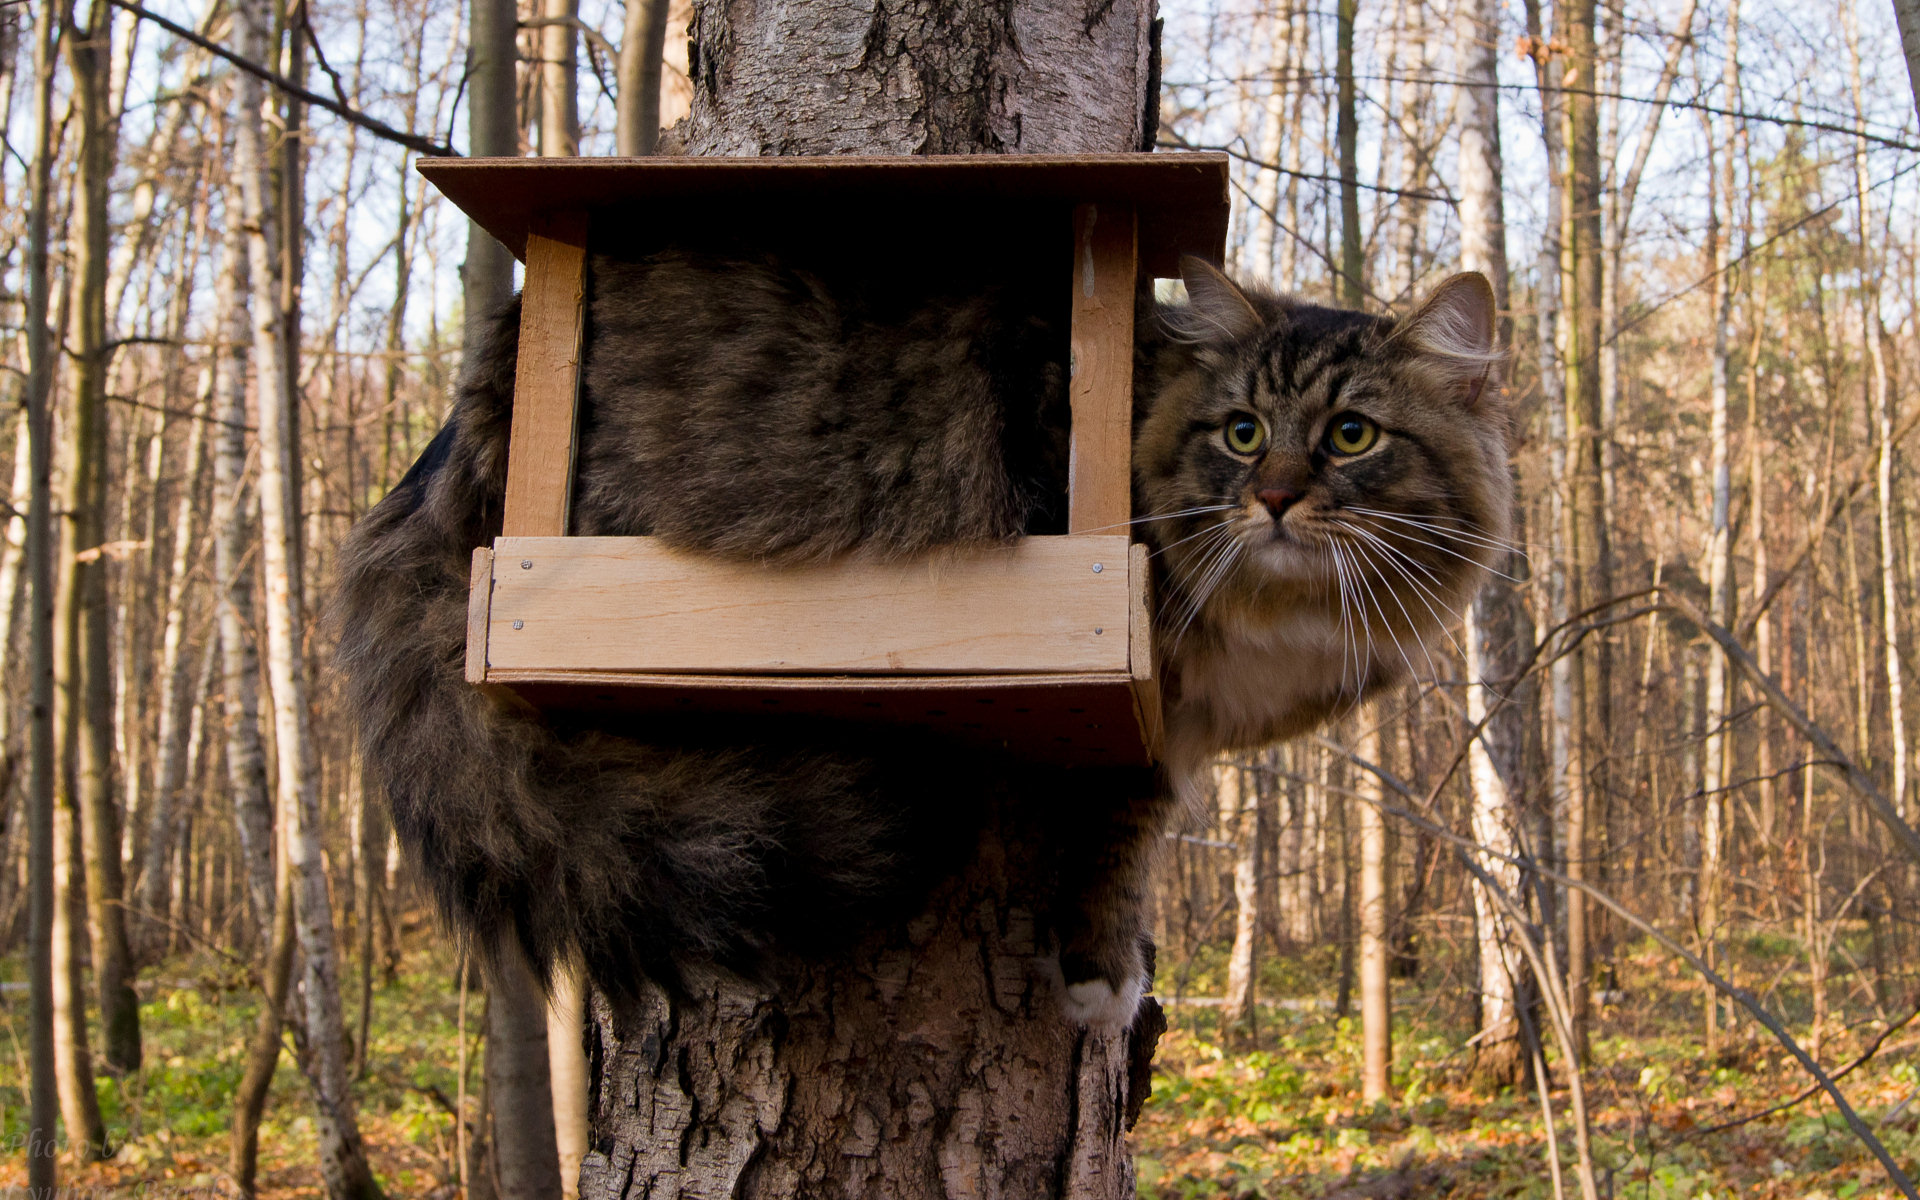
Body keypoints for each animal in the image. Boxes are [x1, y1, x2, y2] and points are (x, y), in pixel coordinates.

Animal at [337, 247, 1505, 1021]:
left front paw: (1102, 959)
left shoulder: (1162, 733)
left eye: (1350, 437)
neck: (1275, 616)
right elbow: (1112, 835)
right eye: (1245, 433)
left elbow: (1125, 838)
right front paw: (1102, 979)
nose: (1272, 499)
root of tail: (455, 423)